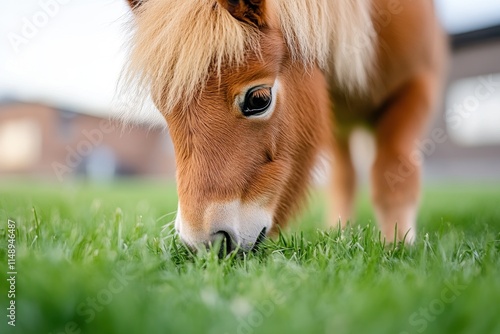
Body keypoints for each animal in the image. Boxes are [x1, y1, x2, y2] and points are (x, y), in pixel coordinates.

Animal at [123, 0, 448, 250]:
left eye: (259, 99)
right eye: (162, 108)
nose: (203, 243)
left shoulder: (417, 85)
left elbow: (392, 172)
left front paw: (398, 245)